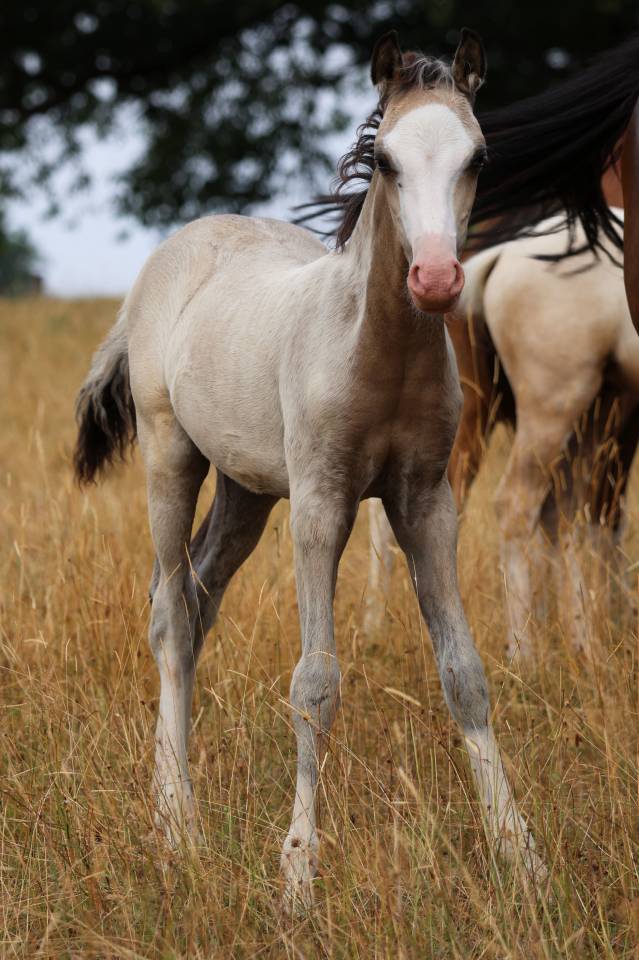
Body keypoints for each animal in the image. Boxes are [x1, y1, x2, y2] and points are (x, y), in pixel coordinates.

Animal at [73, 30, 543, 909]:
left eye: (478, 156)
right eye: (386, 159)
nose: (436, 280)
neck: (378, 350)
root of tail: (174, 251)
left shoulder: (425, 501)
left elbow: (464, 674)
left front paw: (518, 853)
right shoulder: (323, 501)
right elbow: (315, 683)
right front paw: (297, 870)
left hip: (247, 491)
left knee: (195, 601)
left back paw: (167, 806)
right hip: (170, 455)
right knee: (169, 613)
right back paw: (179, 825)